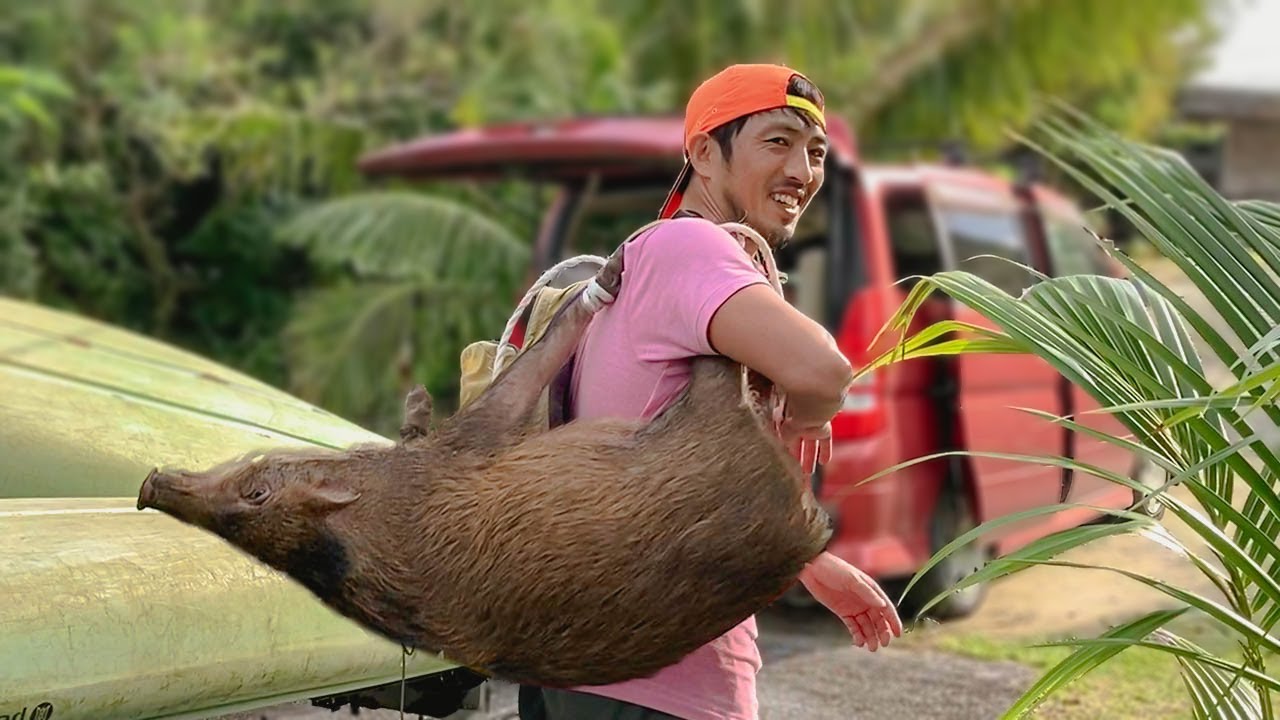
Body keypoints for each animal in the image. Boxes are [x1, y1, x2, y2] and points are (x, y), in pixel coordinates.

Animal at [137, 246, 832, 688]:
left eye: (255, 490)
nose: (150, 484)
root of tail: (807, 524)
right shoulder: (477, 442)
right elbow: (529, 366)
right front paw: (604, 277)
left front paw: (417, 398)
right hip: (716, 410)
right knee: (724, 366)